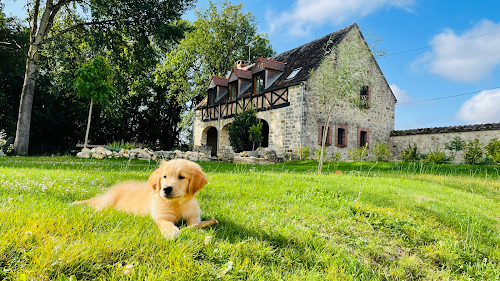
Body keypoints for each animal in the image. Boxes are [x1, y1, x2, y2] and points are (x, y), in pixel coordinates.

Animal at [73, 159, 207, 240]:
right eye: (164, 176)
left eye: (181, 177)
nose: (166, 189)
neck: (177, 203)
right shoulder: (161, 217)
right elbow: (166, 223)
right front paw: (171, 232)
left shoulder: (193, 214)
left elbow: (195, 223)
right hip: (107, 203)